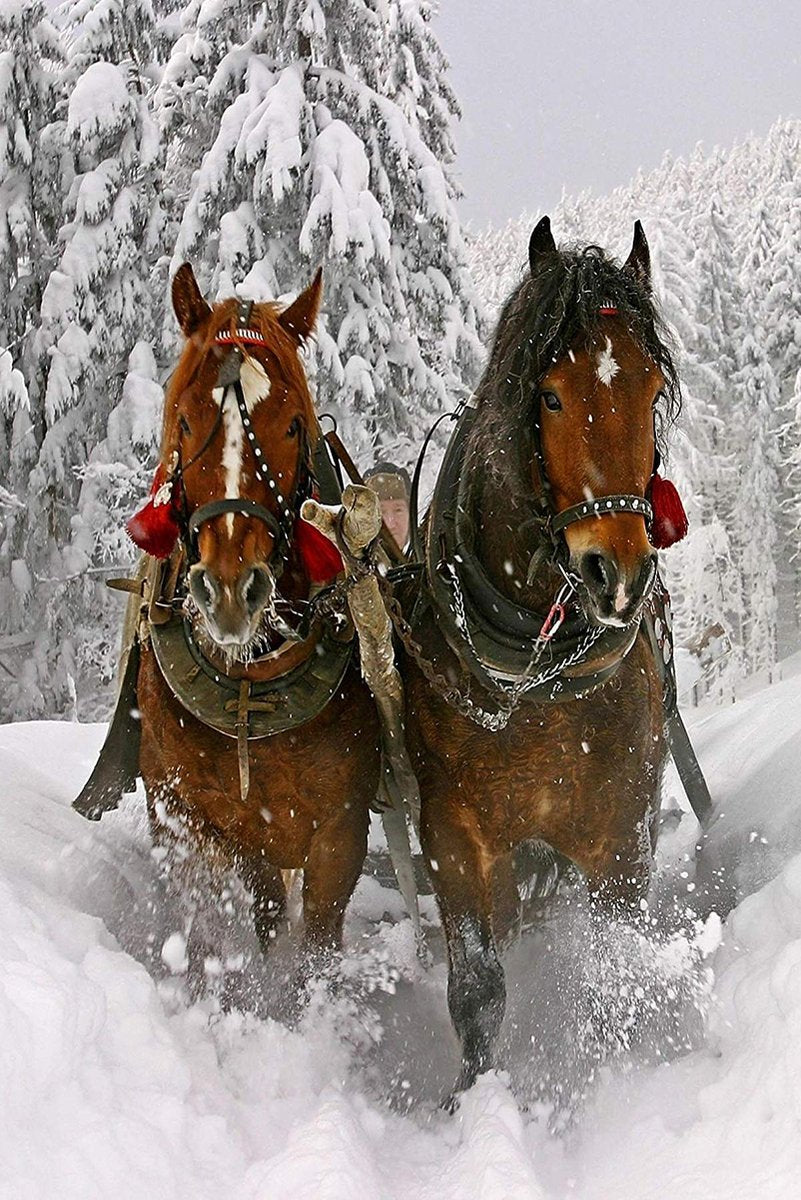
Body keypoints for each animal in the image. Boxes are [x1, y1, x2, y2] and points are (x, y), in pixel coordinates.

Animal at [94, 265, 381, 991]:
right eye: (185, 417)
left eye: (292, 426)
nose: (229, 589)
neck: (252, 680)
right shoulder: (185, 816)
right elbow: (209, 929)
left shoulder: (338, 831)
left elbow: (317, 946)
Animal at [401, 218, 683, 1096]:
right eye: (550, 394)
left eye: (650, 393)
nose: (616, 575)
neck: (536, 678)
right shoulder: (455, 837)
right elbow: (477, 990)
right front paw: (470, 1101)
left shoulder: (620, 834)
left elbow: (612, 969)